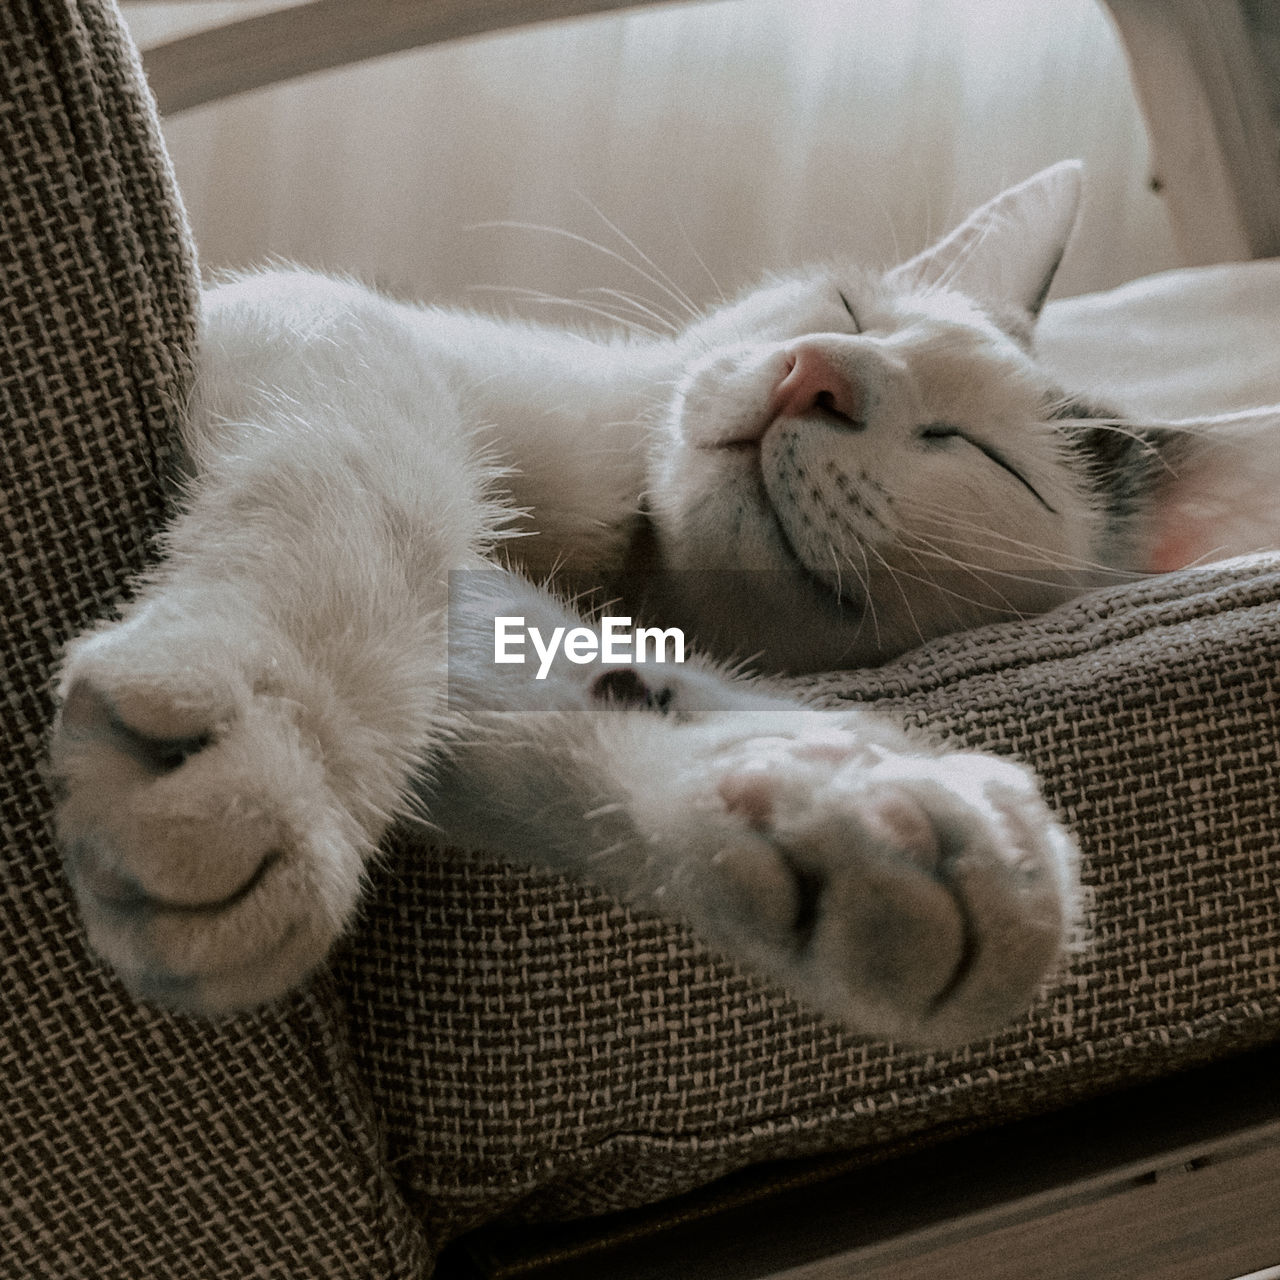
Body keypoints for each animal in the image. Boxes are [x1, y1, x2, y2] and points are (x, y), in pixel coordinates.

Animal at [47, 160, 1269, 1044]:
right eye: (847, 307)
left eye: (968, 448)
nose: (814, 371)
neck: (631, 568)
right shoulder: (313, 321)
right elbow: (371, 488)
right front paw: (276, 746)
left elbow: (568, 673)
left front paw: (845, 801)